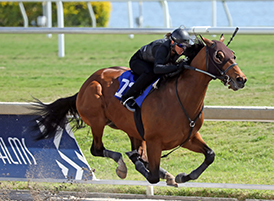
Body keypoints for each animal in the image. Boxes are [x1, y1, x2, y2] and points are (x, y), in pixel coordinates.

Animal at [33, 35, 247, 187]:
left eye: (233, 54)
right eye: (219, 55)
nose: (241, 79)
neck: (180, 98)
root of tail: (86, 84)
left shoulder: (188, 137)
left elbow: (210, 155)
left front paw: (182, 176)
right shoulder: (154, 141)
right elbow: (151, 176)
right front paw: (138, 163)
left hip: (132, 129)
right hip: (97, 120)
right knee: (97, 149)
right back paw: (123, 165)